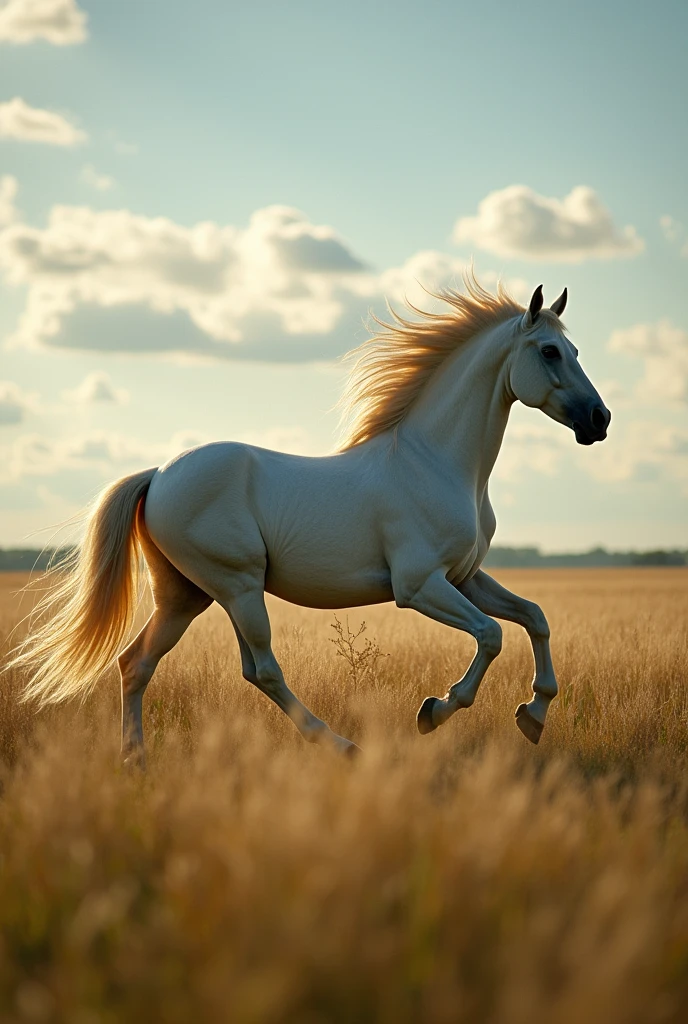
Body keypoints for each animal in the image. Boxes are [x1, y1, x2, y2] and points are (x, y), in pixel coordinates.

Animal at [10, 276, 606, 765]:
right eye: (550, 351)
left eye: (575, 349)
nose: (599, 421)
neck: (434, 462)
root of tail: (158, 475)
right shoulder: (418, 586)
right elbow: (491, 635)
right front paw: (434, 711)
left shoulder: (464, 577)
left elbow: (533, 617)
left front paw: (533, 716)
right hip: (236, 586)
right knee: (261, 669)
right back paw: (341, 745)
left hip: (186, 594)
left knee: (137, 663)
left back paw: (135, 761)